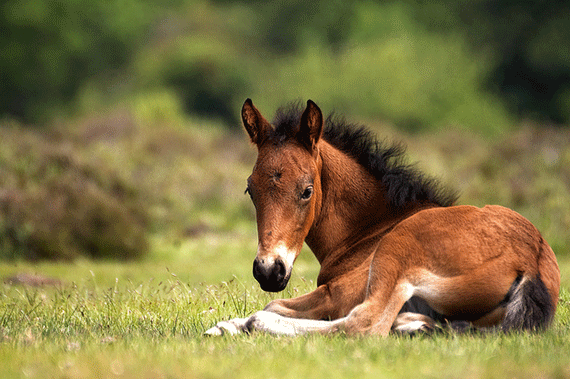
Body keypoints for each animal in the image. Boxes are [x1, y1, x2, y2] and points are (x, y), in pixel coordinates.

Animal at [203, 99, 556, 336]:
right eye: (250, 190)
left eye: (306, 190)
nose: (268, 271)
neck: (371, 228)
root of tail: (531, 260)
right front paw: (223, 326)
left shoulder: (337, 294)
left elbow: (272, 305)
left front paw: (233, 324)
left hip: (395, 254)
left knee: (364, 325)